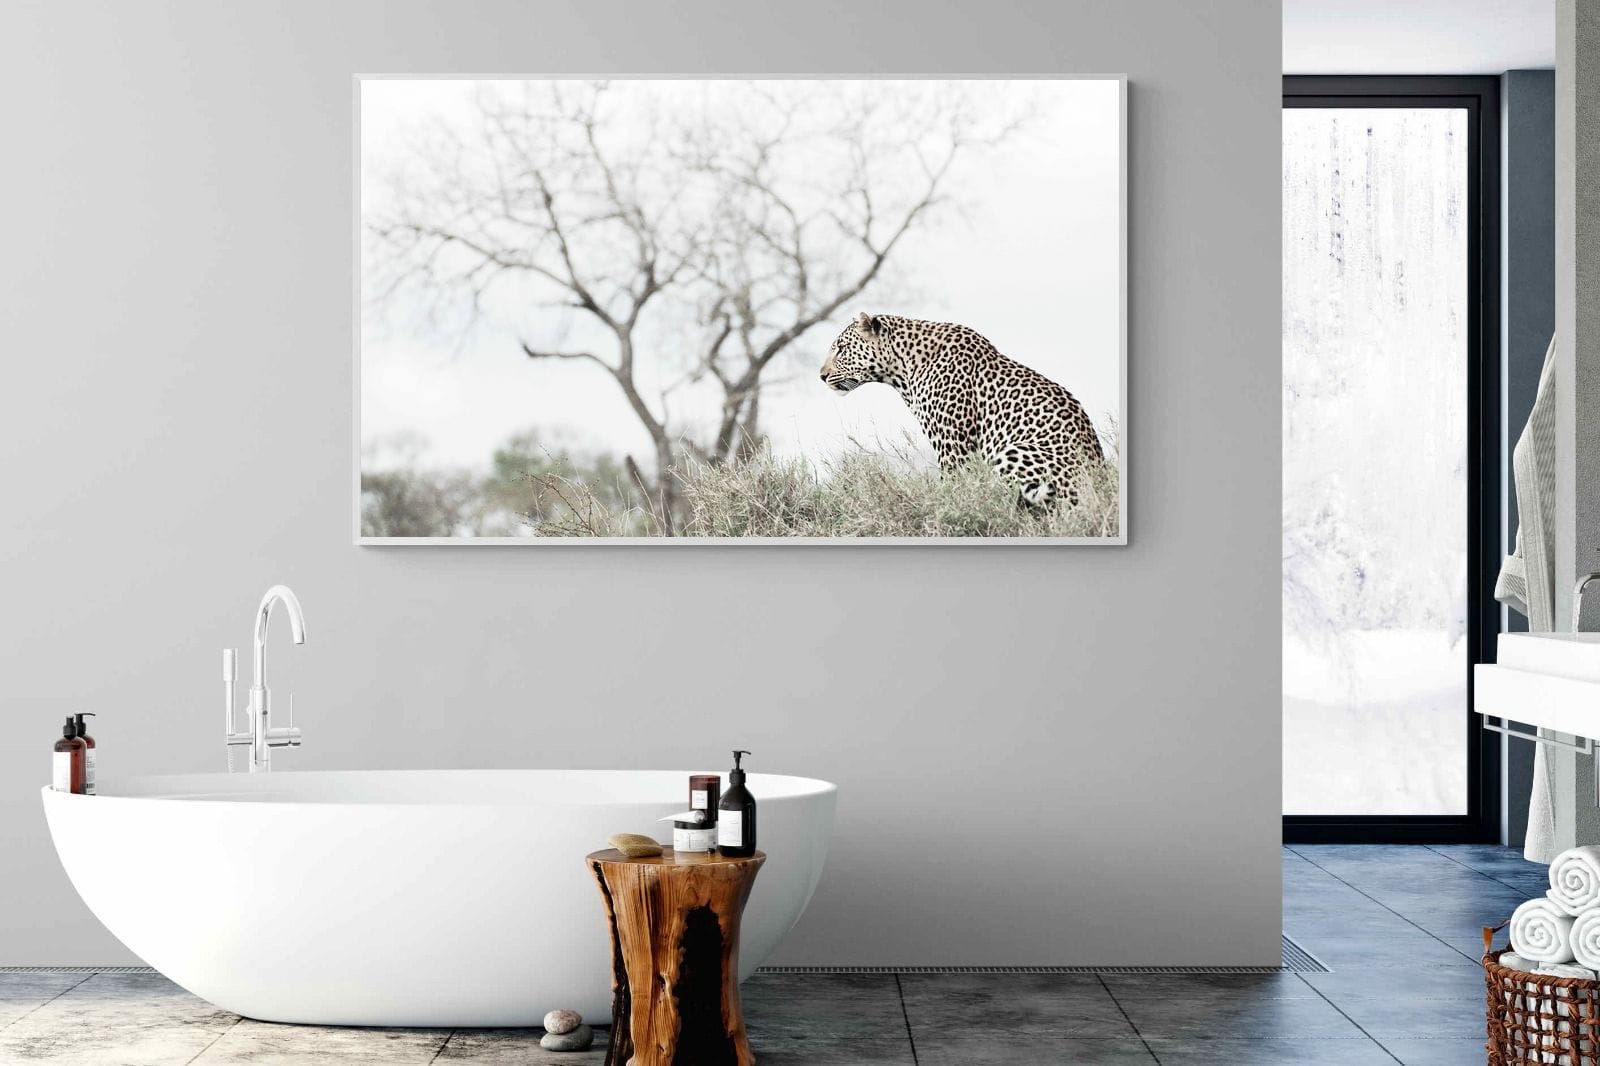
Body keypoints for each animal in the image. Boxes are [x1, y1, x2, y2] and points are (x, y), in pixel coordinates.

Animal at [819, 312, 1105, 507]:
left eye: (842, 349)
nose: (821, 376)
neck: (902, 369)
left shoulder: (952, 445)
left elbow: (952, 486)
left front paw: (945, 507)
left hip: (1016, 451)